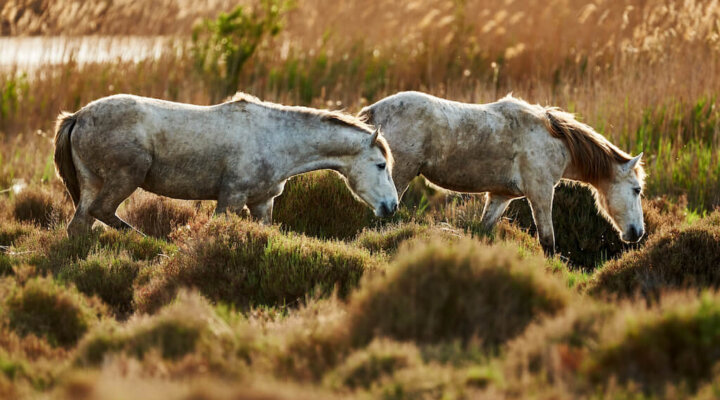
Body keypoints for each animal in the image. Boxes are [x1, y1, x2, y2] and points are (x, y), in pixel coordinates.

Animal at [54, 92, 398, 237]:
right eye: (381, 165)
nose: (392, 206)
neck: (276, 138)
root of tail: (78, 116)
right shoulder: (230, 199)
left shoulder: (262, 202)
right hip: (126, 176)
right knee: (103, 212)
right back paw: (150, 241)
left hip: (92, 183)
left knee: (80, 224)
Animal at [359, 91, 645, 254]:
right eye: (637, 190)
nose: (638, 232)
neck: (554, 139)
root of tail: (372, 112)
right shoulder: (540, 194)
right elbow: (548, 242)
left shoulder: (500, 196)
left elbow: (482, 230)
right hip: (397, 179)